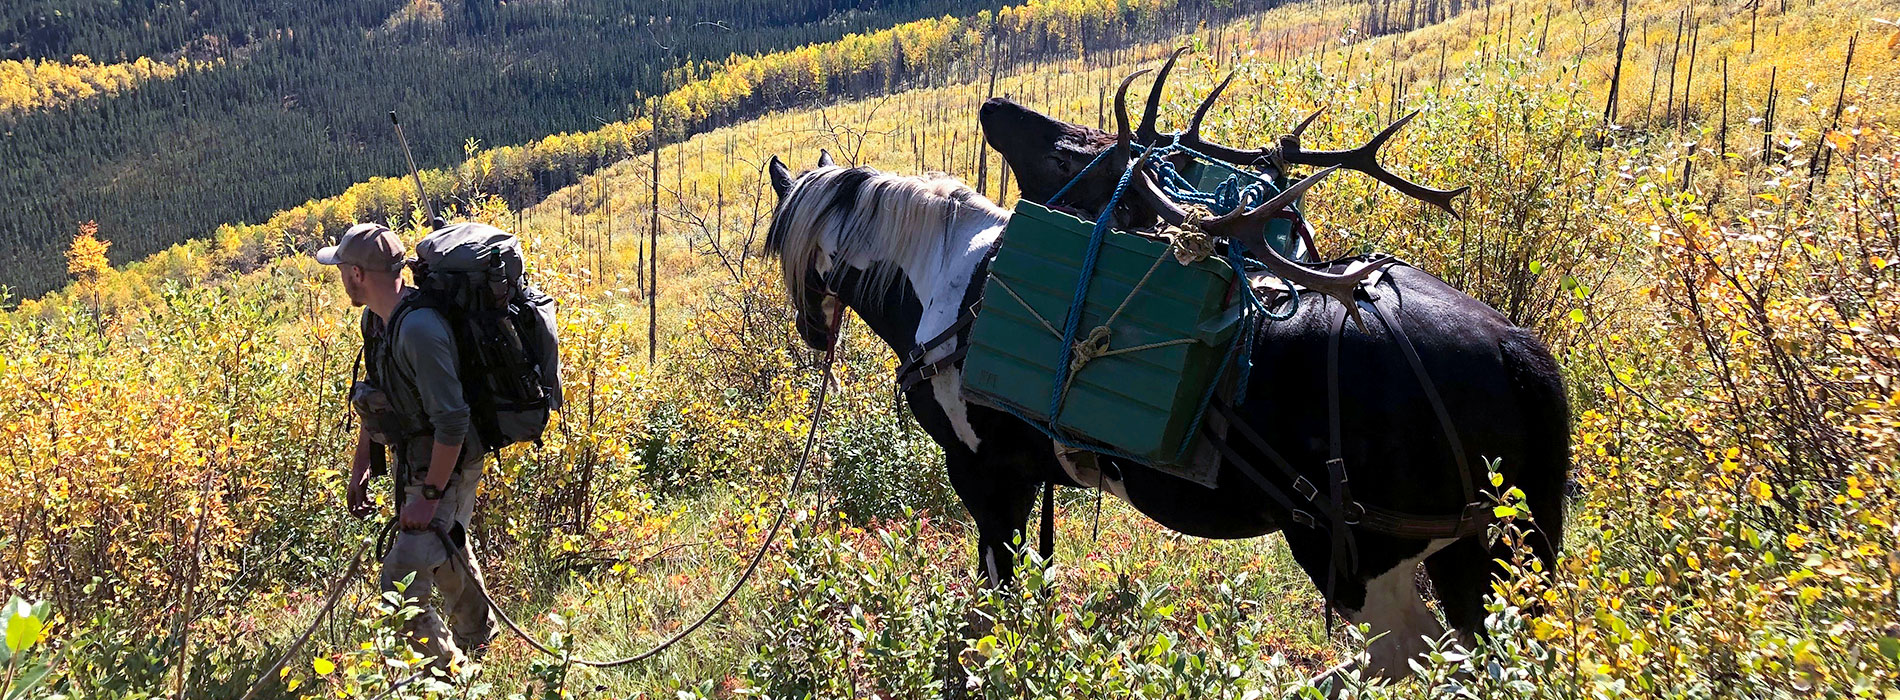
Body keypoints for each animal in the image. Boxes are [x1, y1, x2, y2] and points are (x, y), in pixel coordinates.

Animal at [760, 53, 1573, 684]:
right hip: (1477, 550)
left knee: (1405, 654)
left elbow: (998, 602)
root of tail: (1515, 351)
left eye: (779, 247)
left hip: (1356, 554)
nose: (810, 330)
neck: (948, 289)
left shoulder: (987, 474)